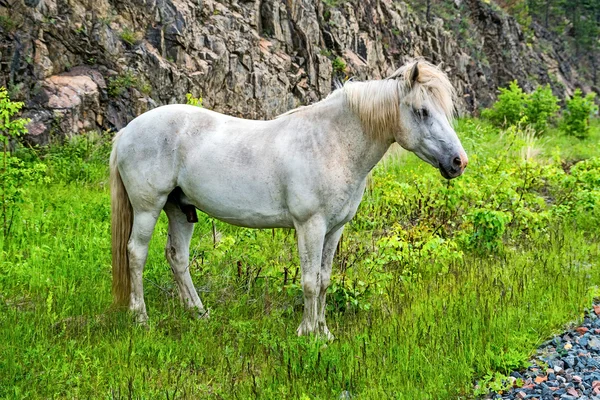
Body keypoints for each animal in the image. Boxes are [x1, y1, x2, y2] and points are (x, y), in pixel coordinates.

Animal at [112, 61, 468, 340]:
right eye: (422, 111)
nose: (458, 162)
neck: (332, 143)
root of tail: (126, 131)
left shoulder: (334, 229)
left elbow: (324, 280)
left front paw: (324, 332)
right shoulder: (310, 226)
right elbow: (309, 281)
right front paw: (306, 333)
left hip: (180, 209)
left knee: (178, 258)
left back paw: (198, 312)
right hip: (148, 208)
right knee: (136, 254)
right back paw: (141, 318)